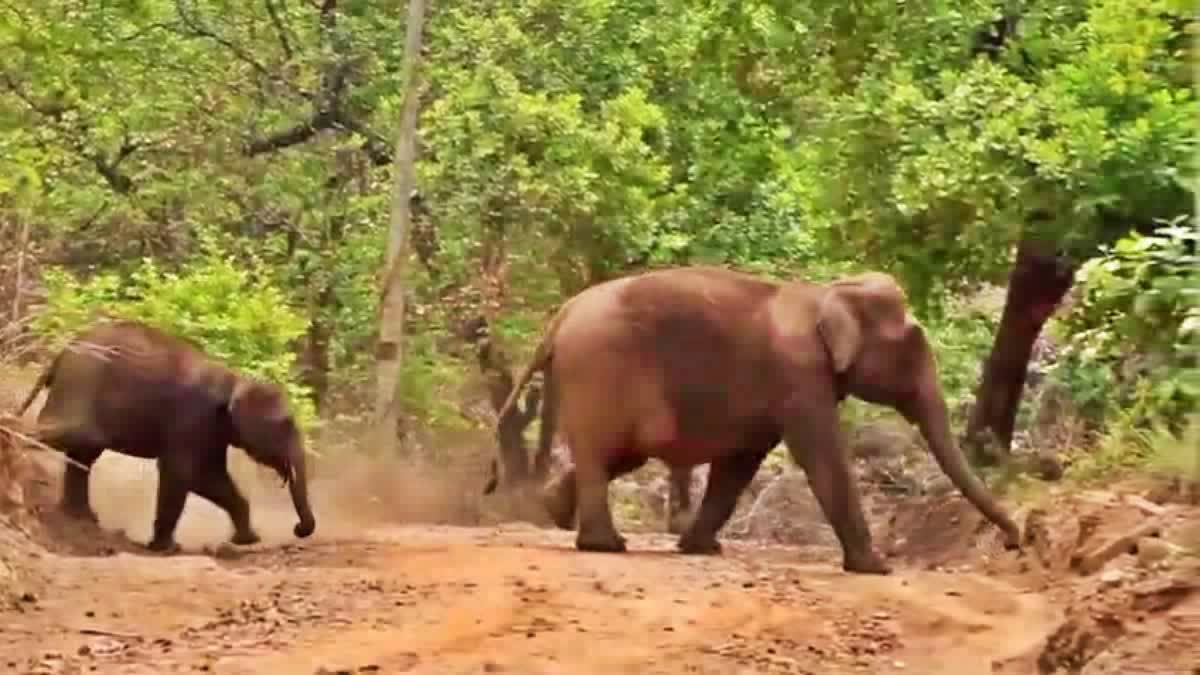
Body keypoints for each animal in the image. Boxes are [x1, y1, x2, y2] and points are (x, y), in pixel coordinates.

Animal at [17, 319, 316, 552]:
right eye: (285, 424)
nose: (298, 528)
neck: (236, 379)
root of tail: (60, 354)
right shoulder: (192, 417)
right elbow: (183, 472)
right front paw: (165, 548)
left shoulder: (211, 431)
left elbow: (211, 477)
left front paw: (248, 540)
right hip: (79, 389)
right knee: (66, 438)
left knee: (83, 453)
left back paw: (83, 519)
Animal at [484, 265, 1022, 569]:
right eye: (912, 347)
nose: (1016, 541)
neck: (827, 293)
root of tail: (561, 315)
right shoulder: (800, 373)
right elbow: (820, 453)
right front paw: (875, 568)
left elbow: (740, 463)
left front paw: (700, 549)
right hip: (599, 369)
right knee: (604, 451)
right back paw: (605, 546)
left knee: (620, 453)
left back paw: (556, 511)